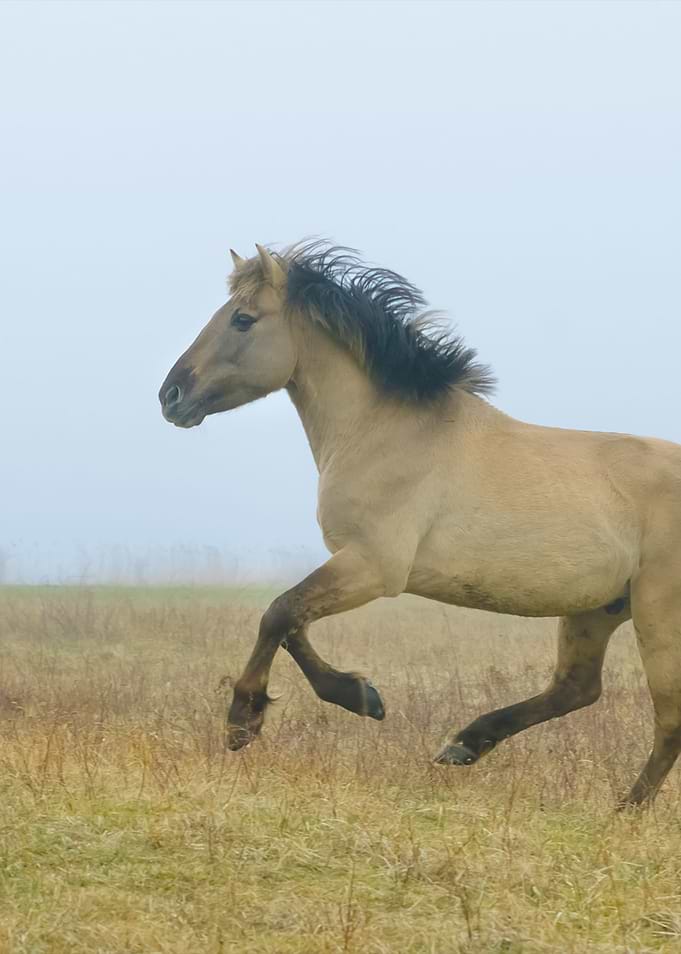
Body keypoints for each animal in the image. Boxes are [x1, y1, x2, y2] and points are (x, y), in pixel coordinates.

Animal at [159, 241, 681, 807]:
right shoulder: (356, 564)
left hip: (657, 612)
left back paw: (627, 809)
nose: (170, 396)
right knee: (577, 687)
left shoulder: (374, 567)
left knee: (667, 719)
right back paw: (465, 744)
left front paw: (244, 720)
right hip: (597, 608)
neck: (384, 431)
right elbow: (293, 620)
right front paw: (361, 696)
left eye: (243, 319)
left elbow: (279, 613)